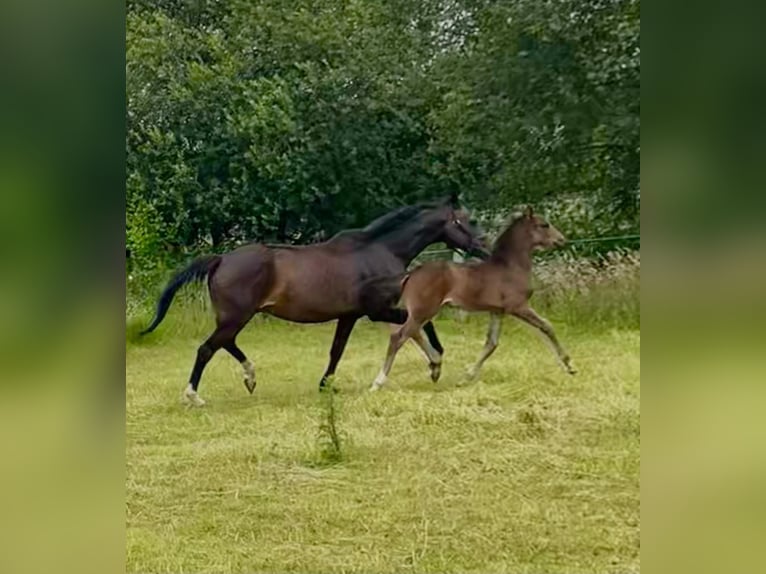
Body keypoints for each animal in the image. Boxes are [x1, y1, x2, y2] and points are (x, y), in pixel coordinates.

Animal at [142, 196, 488, 408]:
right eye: (467, 221)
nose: (485, 246)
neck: (379, 250)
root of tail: (221, 259)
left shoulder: (351, 315)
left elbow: (338, 350)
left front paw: (325, 385)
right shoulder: (376, 310)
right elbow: (418, 324)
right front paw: (436, 362)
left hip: (234, 318)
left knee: (225, 344)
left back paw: (250, 377)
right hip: (236, 317)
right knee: (207, 349)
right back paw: (194, 396)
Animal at [370, 207, 576, 392]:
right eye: (544, 225)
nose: (562, 240)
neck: (510, 267)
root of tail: (411, 274)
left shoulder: (497, 311)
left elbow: (491, 343)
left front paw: (466, 377)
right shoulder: (518, 307)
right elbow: (547, 326)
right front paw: (569, 365)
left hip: (419, 312)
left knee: (412, 333)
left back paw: (435, 367)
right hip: (424, 311)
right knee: (399, 336)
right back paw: (378, 383)